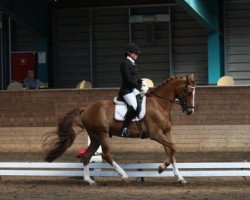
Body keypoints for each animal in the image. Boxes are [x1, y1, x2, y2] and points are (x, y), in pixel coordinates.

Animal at [43, 74, 195, 185]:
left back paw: (89, 180)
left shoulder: (166, 133)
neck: (159, 104)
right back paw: (123, 175)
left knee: (87, 155)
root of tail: (86, 109)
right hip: (102, 134)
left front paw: (180, 178)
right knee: (106, 155)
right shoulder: (156, 134)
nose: (190, 111)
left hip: (95, 137)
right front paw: (161, 168)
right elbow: (173, 148)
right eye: (188, 92)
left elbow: (172, 152)